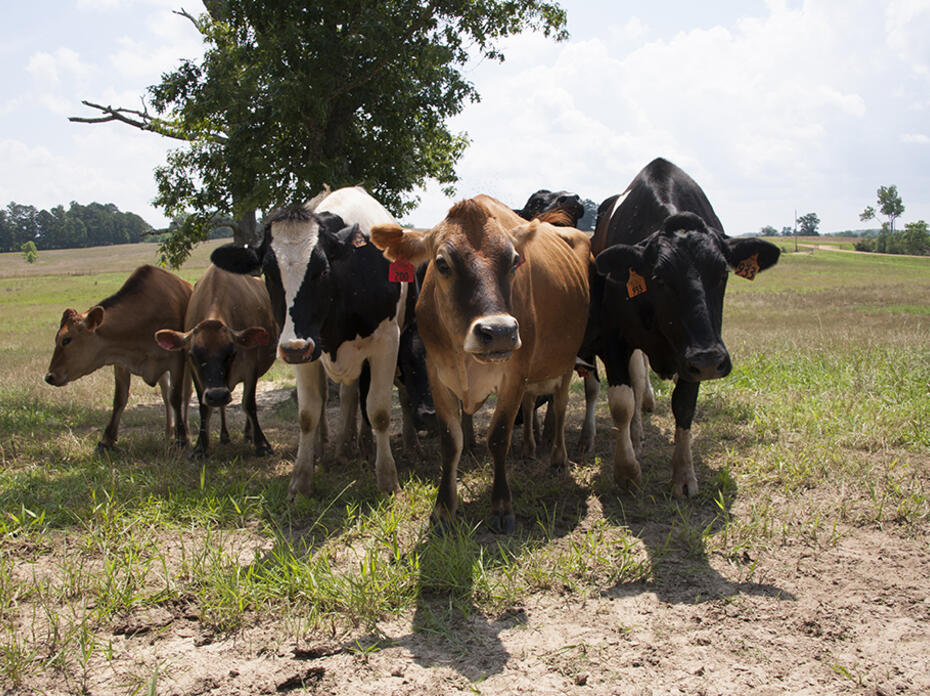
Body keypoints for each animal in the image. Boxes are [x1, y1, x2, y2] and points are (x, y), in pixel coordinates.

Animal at [44, 265, 192, 451]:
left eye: (66, 339)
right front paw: (107, 439)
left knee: (184, 394)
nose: (49, 377)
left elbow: (177, 396)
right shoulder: (121, 363)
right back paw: (168, 433)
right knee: (166, 395)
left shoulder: (177, 361)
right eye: (56, 339)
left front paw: (183, 438)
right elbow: (119, 399)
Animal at [154, 264, 277, 457]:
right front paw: (200, 447)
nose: (217, 394)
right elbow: (205, 407)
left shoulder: (251, 367)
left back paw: (247, 434)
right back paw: (224, 435)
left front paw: (262, 444)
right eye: (192, 355)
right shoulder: (197, 375)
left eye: (232, 353)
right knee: (222, 406)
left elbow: (249, 403)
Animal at [210, 186, 408, 500]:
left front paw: (388, 478)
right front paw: (300, 481)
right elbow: (307, 414)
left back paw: (355, 445)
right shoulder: (302, 350)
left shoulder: (387, 342)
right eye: (268, 273)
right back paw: (328, 449)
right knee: (336, 398)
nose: (296, 347)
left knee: (354, 397)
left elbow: (378, 411)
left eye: (322, 270)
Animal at [371, 195, 591, 533]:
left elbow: (498, 437)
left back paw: (557, 458)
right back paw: (529, 449)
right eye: (442, 263)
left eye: (514, 261)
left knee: (561, 406)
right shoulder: (437, 375)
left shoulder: (514, 374)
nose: (498, 332)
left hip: (564, 362)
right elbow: (451, 442)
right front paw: (444, 509)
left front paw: (501, 506)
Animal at [588, 157, 781, 497]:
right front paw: (626, 471)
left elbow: (684, 406)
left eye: (722, 274)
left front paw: (684, 474)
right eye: (660, 278)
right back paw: (636, 435)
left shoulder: (692, 353)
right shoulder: (614, 338)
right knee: (638, 380)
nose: (710, 360)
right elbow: (622, 403)